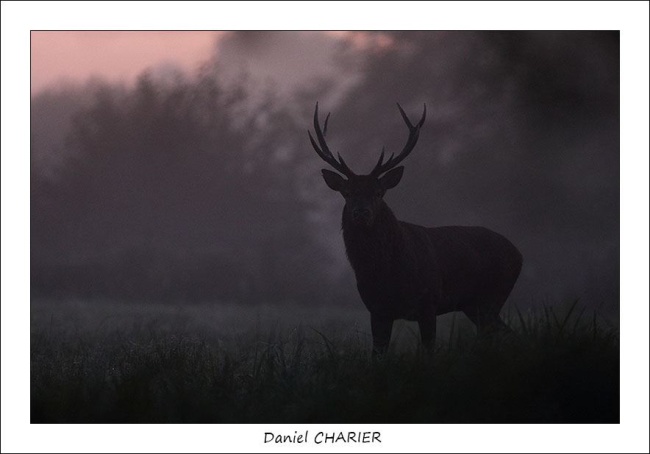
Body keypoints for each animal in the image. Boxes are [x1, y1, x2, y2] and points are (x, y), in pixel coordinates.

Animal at [308, 102, 523, 357]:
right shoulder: (376, 309)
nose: (361, 213)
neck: (386, 272)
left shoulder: (429, 301)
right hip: (476, 305)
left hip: (493, 296)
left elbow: (429, 349)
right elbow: (377, 354)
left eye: (379, 193)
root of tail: (519, 254)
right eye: (347, 193)